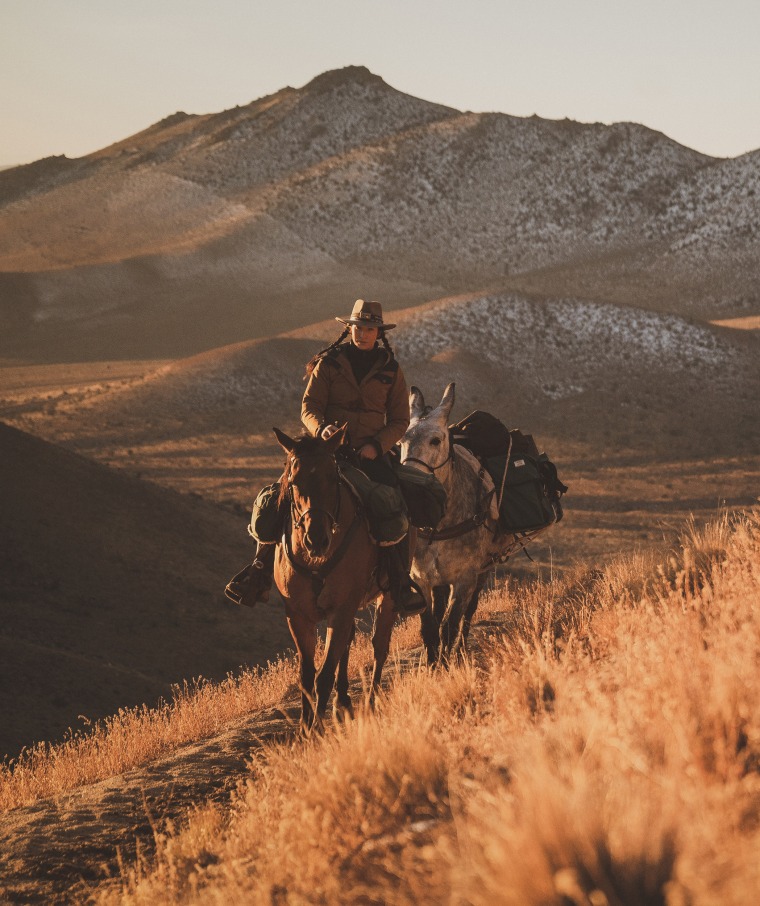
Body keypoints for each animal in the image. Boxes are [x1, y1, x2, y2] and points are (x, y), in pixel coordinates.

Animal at [274, 424, 394, 728]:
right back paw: (343, 701)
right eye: (294, 481)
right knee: (348, 643)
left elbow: (324, 675)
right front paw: (304, 728)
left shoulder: (341, 609)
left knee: (379, 646)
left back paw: (371, 702)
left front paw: (317, 728)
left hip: (387, 595)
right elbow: (306, 675)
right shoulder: (297, 614)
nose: (316, 540)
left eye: (333, 478)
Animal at [398, 384, 504, 664]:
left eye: (436, 440)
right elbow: (429, 627)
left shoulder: (466, 578)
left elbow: (450, 624)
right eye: (401, 442)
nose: (409, 486)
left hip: (482, 570)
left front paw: (447, 662)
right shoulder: (421, 578)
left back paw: (461, 648)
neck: (440, 526)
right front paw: (431, 663)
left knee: (469, 611)